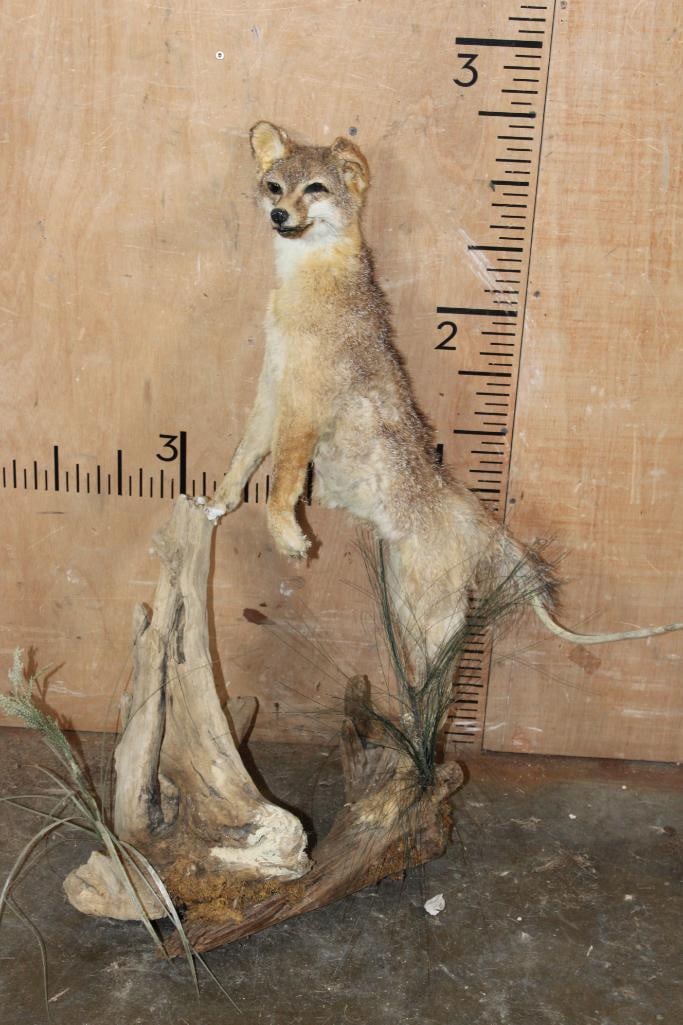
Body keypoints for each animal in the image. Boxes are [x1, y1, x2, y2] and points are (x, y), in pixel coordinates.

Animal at [208, 121, 682, 659]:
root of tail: (466, 511)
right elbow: (244, 457)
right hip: (408, 611)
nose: (279, 214)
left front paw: (285, 535)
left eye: (315, 189)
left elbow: (282, 480)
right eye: (274, 186)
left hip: (428, 625)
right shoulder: (273, 391)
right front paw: (218, 502)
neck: (305, 286)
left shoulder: (304, 406)